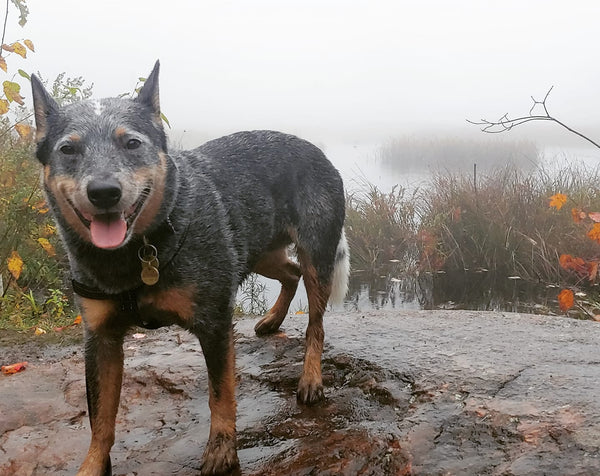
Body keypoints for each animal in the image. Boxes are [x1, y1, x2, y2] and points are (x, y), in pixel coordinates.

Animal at [31, 60, 352, 476]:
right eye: (68, 149)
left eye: (131, 143)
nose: (104, 192)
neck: (140, 249)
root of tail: (315, 148)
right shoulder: (100, 338)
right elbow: (100, 418)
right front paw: (91, 466)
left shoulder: (214, 324)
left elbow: (221, 394)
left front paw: (221, 450)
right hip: (257, 251)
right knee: (290, 273)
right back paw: (272, 320)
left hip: (317, 253)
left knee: (315, 320)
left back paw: (311, 378)